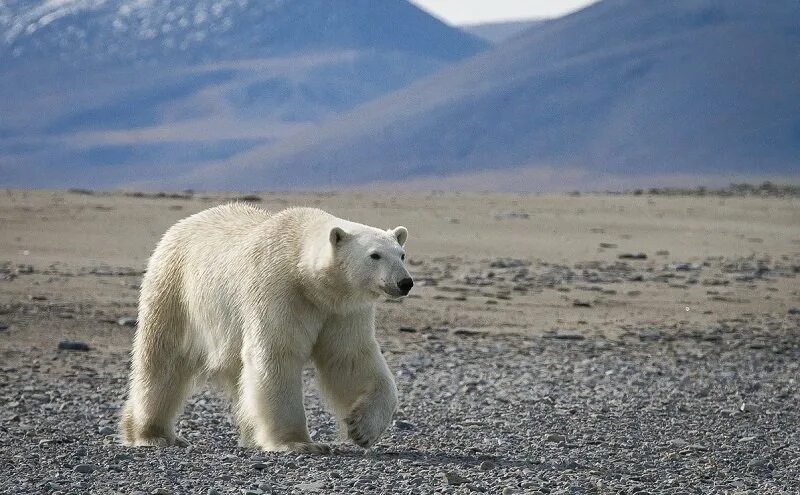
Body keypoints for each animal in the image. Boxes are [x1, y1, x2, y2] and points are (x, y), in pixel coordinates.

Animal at [122, 205, 416, 454]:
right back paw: (154, 434)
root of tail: (180, 225)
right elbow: (277, 355)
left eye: (401, 254)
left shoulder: (342, 310)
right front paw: (300, 443)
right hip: (175, 290)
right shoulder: (278, 290)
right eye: (375, 255)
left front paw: (361, 428)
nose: (405, 282)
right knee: (162, 360)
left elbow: (349, 358)